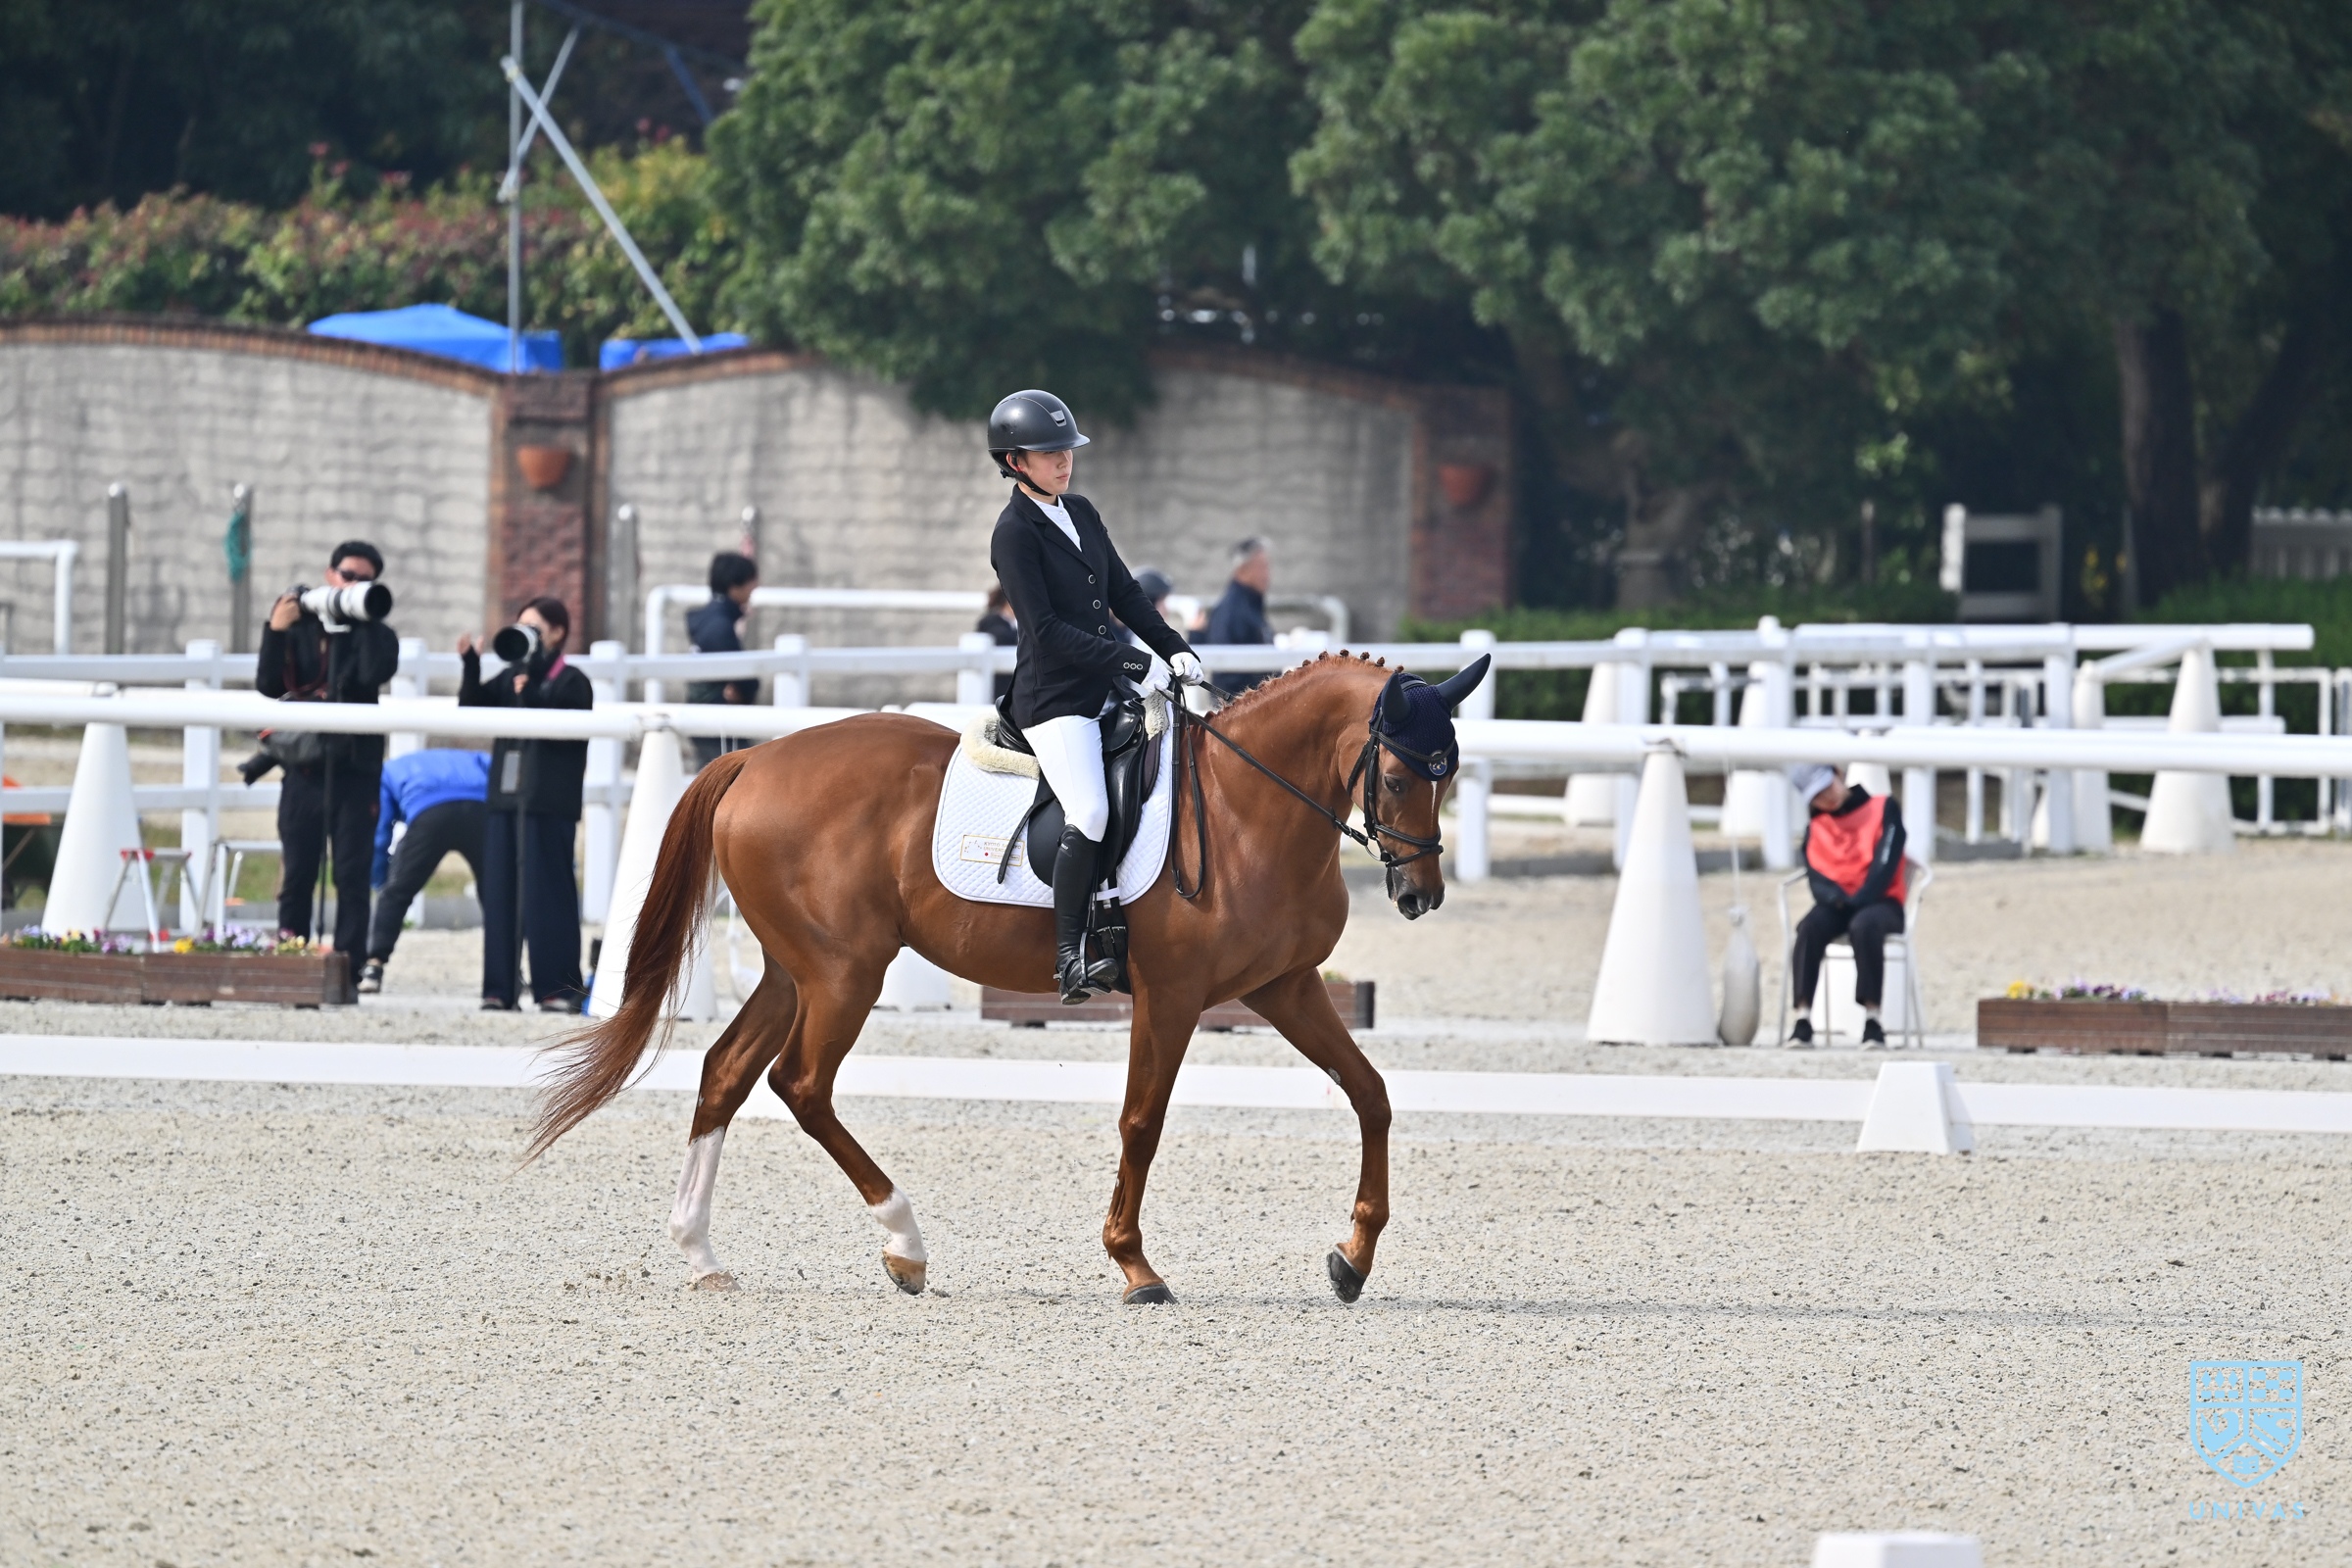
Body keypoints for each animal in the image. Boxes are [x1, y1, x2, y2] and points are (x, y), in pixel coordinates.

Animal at [529, 651, 1489, 1305]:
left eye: (1449, 776)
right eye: (1396, 774)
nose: (1421, 896)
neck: (1248, 809)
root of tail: (753, 761)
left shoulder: (1284, 986)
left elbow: (1371, 1095)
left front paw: (1352, 1260)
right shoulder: (1173, 996)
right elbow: (1142, 1122)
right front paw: (1135, 1266)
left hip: (793, 970)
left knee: (725, 1073)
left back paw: (703, 1254)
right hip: (844, 974)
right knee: (800, 1084)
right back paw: (905, 1245)